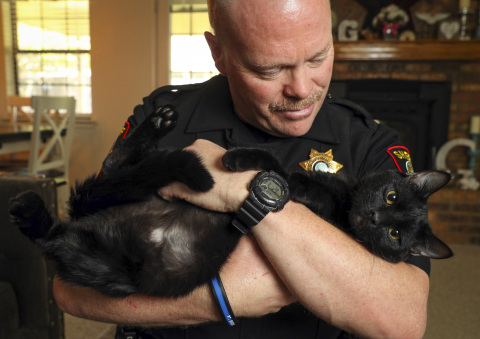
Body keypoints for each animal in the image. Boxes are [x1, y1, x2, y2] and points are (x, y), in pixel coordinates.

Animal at [10, 105, 454, 298]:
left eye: (395, 235)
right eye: (391, 195)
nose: (375, 216)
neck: (344, 204)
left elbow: (280, 171)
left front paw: (248, 166)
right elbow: (274, 163)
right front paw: (237, 158)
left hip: (112, 268)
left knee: (55, 238)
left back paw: (27, 210)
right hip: (124, 193)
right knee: (113, 163)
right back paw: (158, 122)